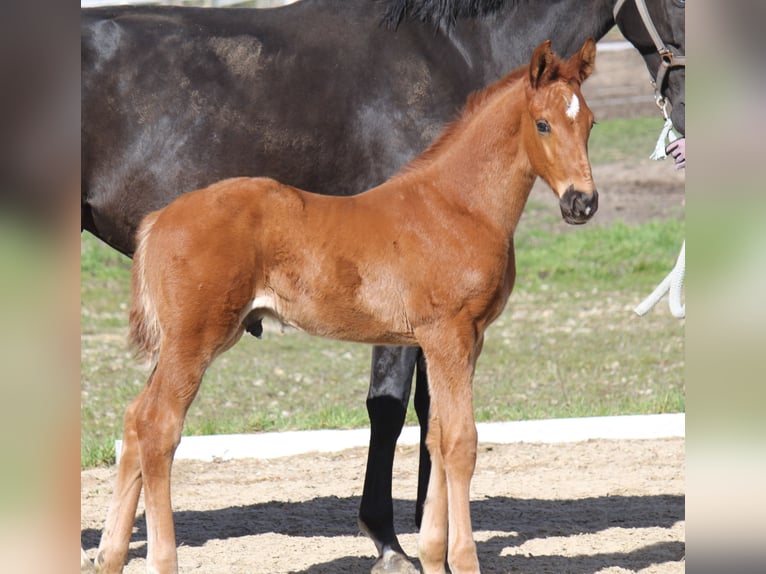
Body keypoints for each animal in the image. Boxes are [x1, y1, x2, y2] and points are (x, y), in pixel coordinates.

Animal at [94, 38, 600, 572]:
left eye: (589, 123)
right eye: (542, 124)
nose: (582, 203)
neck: (457, 206)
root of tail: (158, 219)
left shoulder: (464, 341)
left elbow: (436, 437)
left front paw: (431, 554)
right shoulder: (448, 334)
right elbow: (460, 442)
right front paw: (462, 560)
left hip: (176, 343)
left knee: (134, 420)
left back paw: (109, 555)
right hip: (195, 339)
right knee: (158, 427)